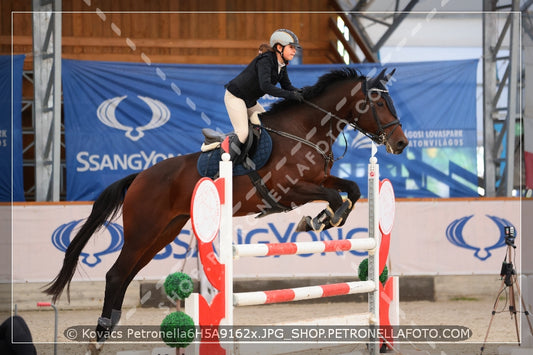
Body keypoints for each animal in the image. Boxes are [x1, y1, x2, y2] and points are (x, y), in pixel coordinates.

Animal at [42, 67, 408, 350]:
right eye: (377, 102)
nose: (401, 143)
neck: (304, 131)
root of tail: (140, 177)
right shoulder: (289, 190)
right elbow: (333, 198)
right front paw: (317, 221)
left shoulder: (319, 179)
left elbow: (352, 189)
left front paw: (324, 219)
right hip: (143, 231)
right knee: (117, 273)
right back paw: (100, 336)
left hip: (163, 232)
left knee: (126, 275)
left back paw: (109, 329)